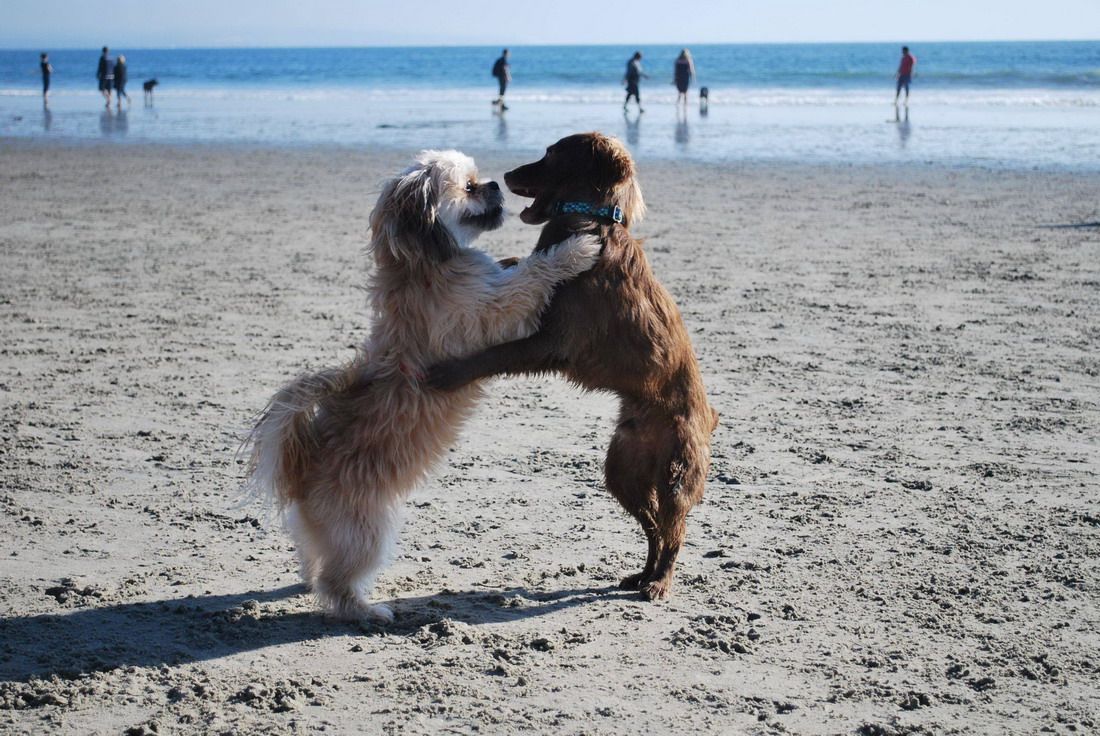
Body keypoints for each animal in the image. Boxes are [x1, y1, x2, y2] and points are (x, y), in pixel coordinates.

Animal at [247, 149, 602, 620]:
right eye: (468, 187)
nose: (494, 184)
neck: (423, 264)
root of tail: (302, 468)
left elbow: (512, 271)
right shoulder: (493, 311)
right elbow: (531, 276)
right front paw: (575, 251)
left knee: (311, 560)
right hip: (367, 531)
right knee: (335, 581)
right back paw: (364, 610)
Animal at [429, 133, 721, 602]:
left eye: (551, 156)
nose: (505, 175)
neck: (589, 221)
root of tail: (709, 418)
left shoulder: (553, 342)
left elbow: (493, 354)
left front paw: (448, 371)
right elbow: (513, 276)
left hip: (676, 473)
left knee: (674, 530)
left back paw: (659, 581)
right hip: (622, 472)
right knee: (654, 528)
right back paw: (641, 574)